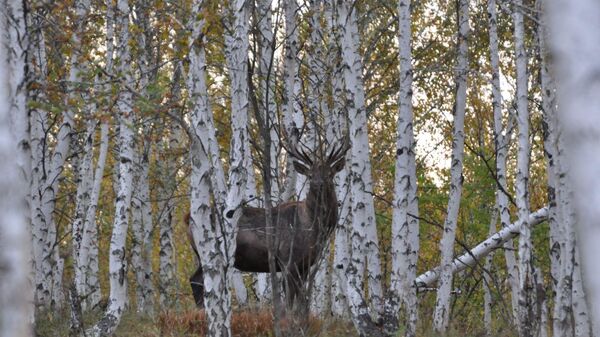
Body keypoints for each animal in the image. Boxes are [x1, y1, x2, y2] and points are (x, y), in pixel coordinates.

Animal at [185, 138, 350, 308]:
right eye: (310, 175)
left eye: (329, 174)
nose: (319, 184)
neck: (313, 228)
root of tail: (188, 219)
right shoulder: (287, 260)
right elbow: (289, 298)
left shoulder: (305, 264)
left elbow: (300, 298)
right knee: (198, 280)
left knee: (195, 279)